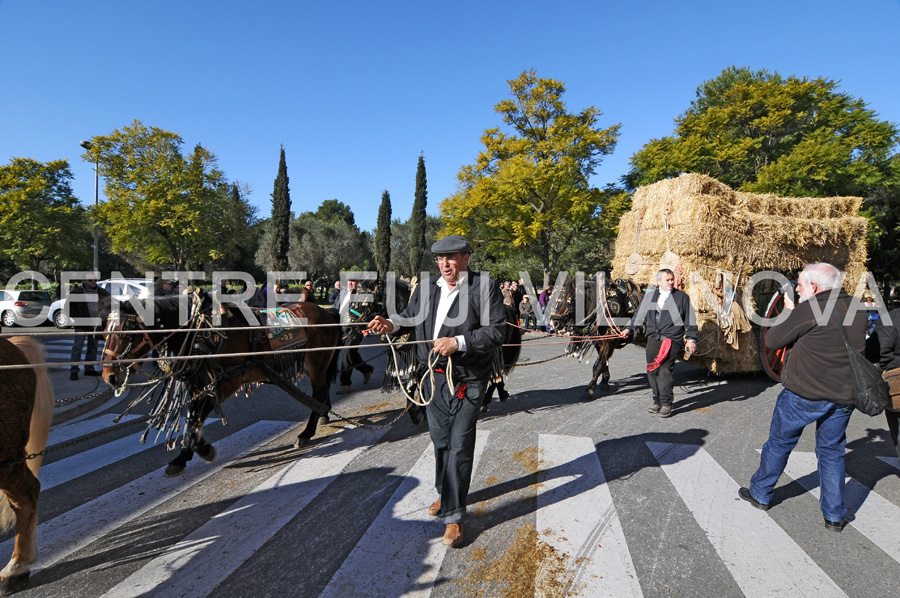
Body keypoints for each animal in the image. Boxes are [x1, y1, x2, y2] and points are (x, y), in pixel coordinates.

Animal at [102, 292, 342, 478]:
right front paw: (182, 456)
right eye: (105, 332)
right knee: (322, 391)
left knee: (319, 392)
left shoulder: (227, 382)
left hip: (316, 362)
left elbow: (198, 419)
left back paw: (307, 432)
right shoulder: (198, 384)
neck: (201, 332)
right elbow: (191, 418)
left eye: (125, 334)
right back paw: (323, 414)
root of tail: (327, 313)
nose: (108, 376)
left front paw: (202, 449)